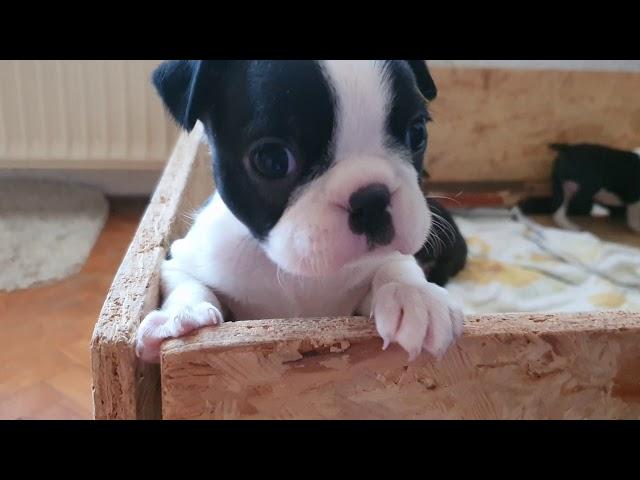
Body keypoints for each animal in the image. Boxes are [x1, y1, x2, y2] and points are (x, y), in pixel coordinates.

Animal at [136, 60, 464, 362]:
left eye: (417, 133)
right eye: (272, 160)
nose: (371, 199)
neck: (298, 273)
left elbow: (395, 265)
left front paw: (414, 296)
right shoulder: (181, 259)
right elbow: (187, 283)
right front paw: (181, 317)